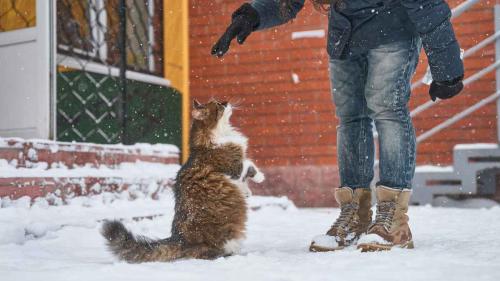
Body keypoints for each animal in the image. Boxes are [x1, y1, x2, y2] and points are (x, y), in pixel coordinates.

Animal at [101, 98, 266, 260]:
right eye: (218, 105)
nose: (226, 102)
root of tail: (179, 239)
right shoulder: (234, 168)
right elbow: (249, 165)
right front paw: (260, 177)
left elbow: (245, 176)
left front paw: (247, 192)